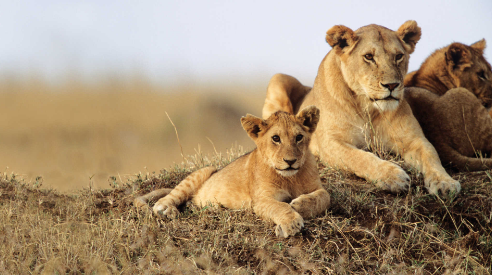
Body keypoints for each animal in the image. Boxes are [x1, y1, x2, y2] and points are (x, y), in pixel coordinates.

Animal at [264, 20, 460, 195]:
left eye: (398, 56)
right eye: (369, 57)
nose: (392, 85)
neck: (368, 108)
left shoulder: (414, 140)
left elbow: (432, 156)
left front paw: (445, 183)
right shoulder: (330, 142)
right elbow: (360, 157)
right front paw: (392, 176)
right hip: (278, 78)